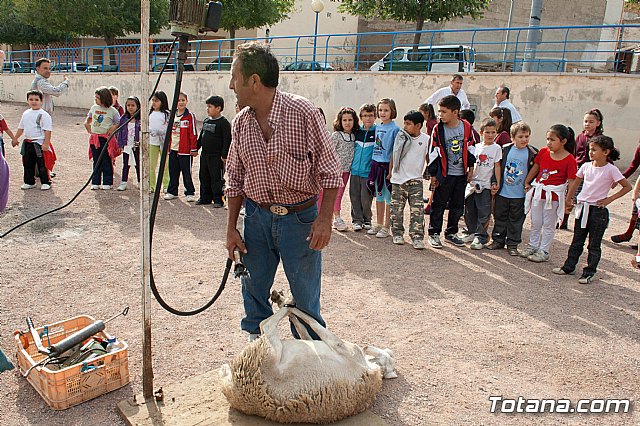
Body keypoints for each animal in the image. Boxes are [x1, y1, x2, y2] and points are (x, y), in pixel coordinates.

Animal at [219, 292, 396, 424]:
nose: (367, 347)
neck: (374, 370)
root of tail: (230, 387)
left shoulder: (342, 346)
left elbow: (312, 322)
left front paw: (289, 304)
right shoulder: (324, 343)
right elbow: (304, 327)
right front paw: (286, 306)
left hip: (269, 348)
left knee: (265, 324)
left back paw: (287, 301)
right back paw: (283, 300)